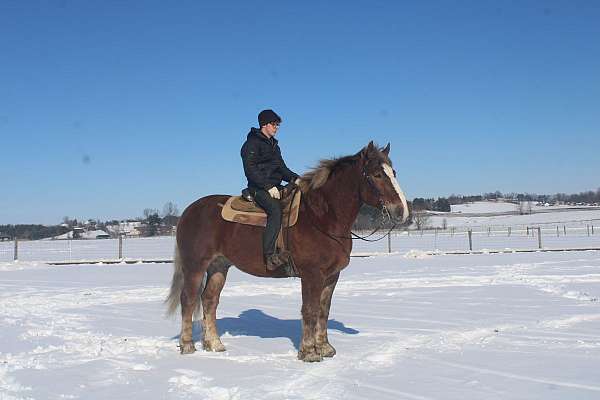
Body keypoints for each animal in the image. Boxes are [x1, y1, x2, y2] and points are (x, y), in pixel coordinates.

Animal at [166, 141, 410, 362]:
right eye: (377, 174)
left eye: (394, 172)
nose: (402, 211)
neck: (322, 218)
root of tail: (189, 211)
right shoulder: (312, 275)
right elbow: (309, 310)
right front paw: (309, 352)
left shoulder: (332, 276)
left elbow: (323, 310)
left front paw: (325, 348)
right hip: (195, 266)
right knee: (188, 299)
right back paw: (187, 345)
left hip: (219, 266)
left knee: (209, 300)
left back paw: (214, 344)